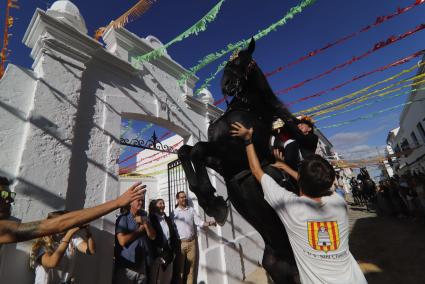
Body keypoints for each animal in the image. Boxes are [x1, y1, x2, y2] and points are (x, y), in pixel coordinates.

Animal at [177, 38, 296, 282]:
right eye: (227, 63)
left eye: (246, 61)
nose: (226, 85)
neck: (247, 110)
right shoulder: (222, 163)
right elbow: (185, 151)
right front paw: (208, 199)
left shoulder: (236, 156)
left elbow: (197, 149)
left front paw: (210, 199)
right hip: (276, 266)